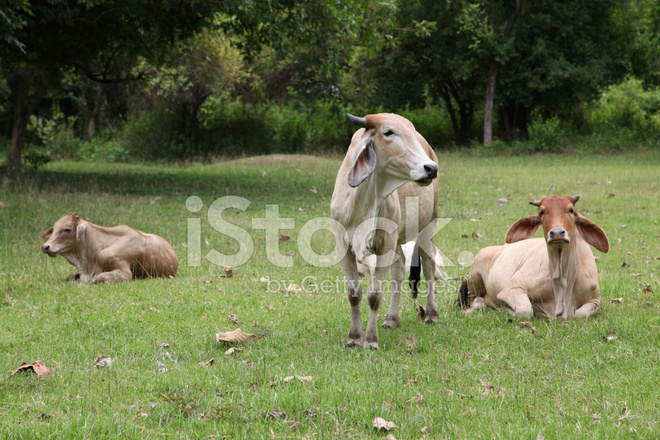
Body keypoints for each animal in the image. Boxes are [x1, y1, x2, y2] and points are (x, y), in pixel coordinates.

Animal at [42, 214, 179, 284]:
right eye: (54, 229)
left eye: (67, 229)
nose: (45, 247)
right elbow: (71, 276)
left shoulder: (125, 273)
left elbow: (97, 278)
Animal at [332, 113, 440, 350]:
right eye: (388, 132)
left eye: (411, 131)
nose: (431, 168)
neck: (362, 201)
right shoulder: (344, 246)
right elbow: (354, 293)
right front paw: (354, 337)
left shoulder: (385, 246)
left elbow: (374, 295)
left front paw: (370, 340)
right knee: (399, 270)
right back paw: (392, 318)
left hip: (429, 224)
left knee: (429, 268)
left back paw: (431, 314)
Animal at [458, 195, 608, 316]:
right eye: (542, 212)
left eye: (571, 210)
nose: (557, 233)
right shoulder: (512, 288)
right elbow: (525, 310)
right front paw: (504, 309)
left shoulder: (595, 299)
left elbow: (580, 314)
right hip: (474, 277)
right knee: (475, 299)